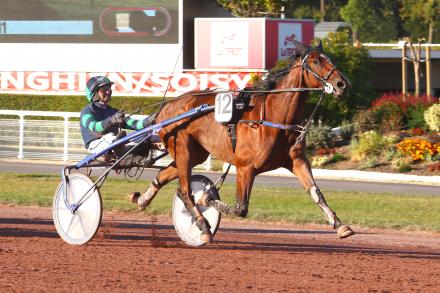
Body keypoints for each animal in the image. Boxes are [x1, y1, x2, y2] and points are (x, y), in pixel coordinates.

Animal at [137, 40, 354, 243]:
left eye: (330, 59)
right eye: (316, 61)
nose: (342, 84)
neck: (275, 116)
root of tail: (166, 107)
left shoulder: (296, 160)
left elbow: (316, 192)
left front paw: (340, 226)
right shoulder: (245, 168)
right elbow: (240, 208)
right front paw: (207, 197)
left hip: (196, 153)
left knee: (164, 175)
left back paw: (142, 199)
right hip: (182, 148)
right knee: (185, 191)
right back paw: (204, 227)